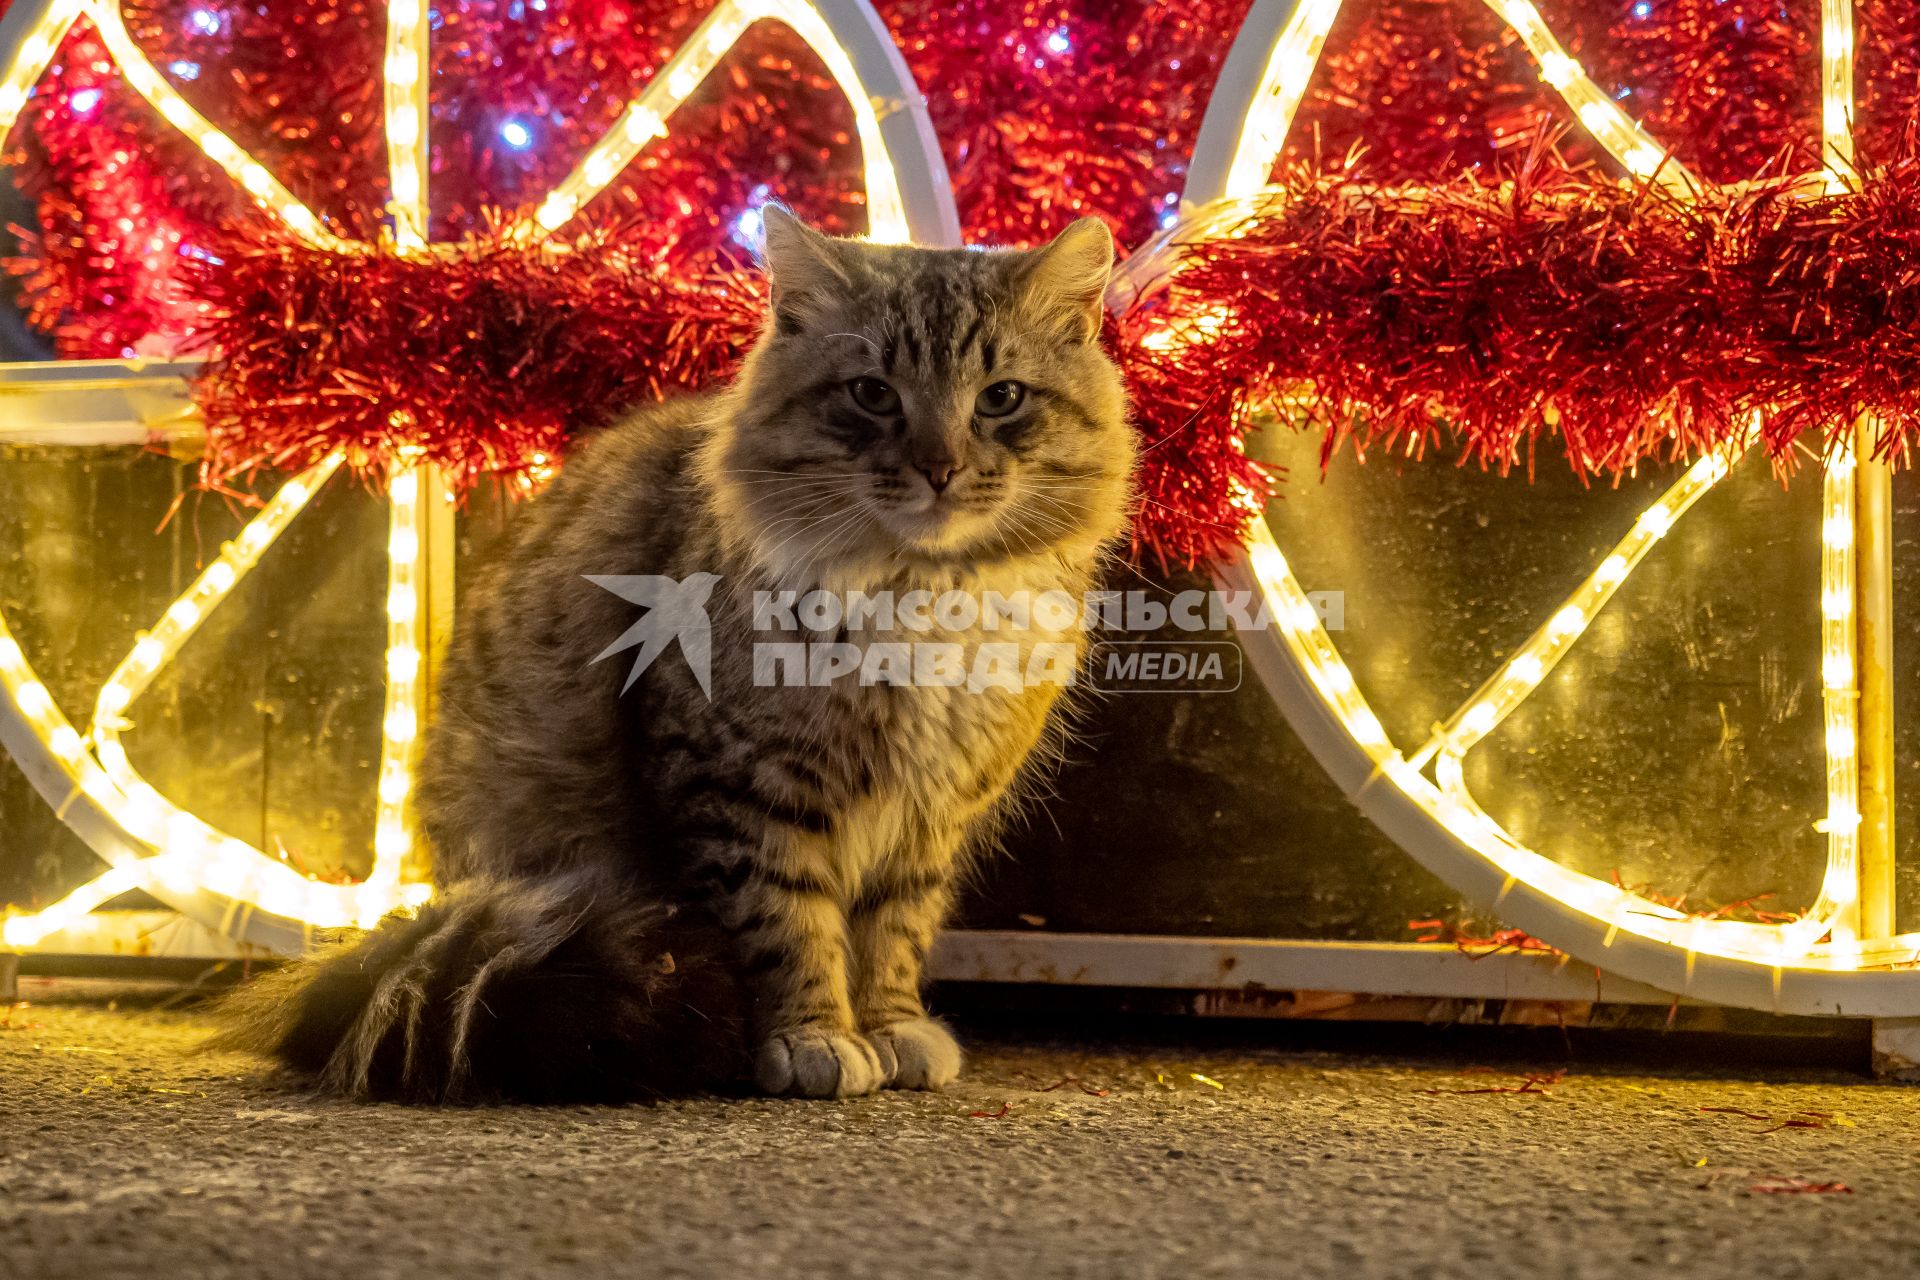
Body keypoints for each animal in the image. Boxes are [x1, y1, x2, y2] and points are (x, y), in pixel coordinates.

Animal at [217, 208, 1128, 1105]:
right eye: (872, 395)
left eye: (1001, 399)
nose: (939, 469)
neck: (923, 593)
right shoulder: (741, 786)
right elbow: (788, 927)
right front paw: (812, 1039)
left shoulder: (931, 811)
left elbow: (894, 935)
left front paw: (892, 1026)